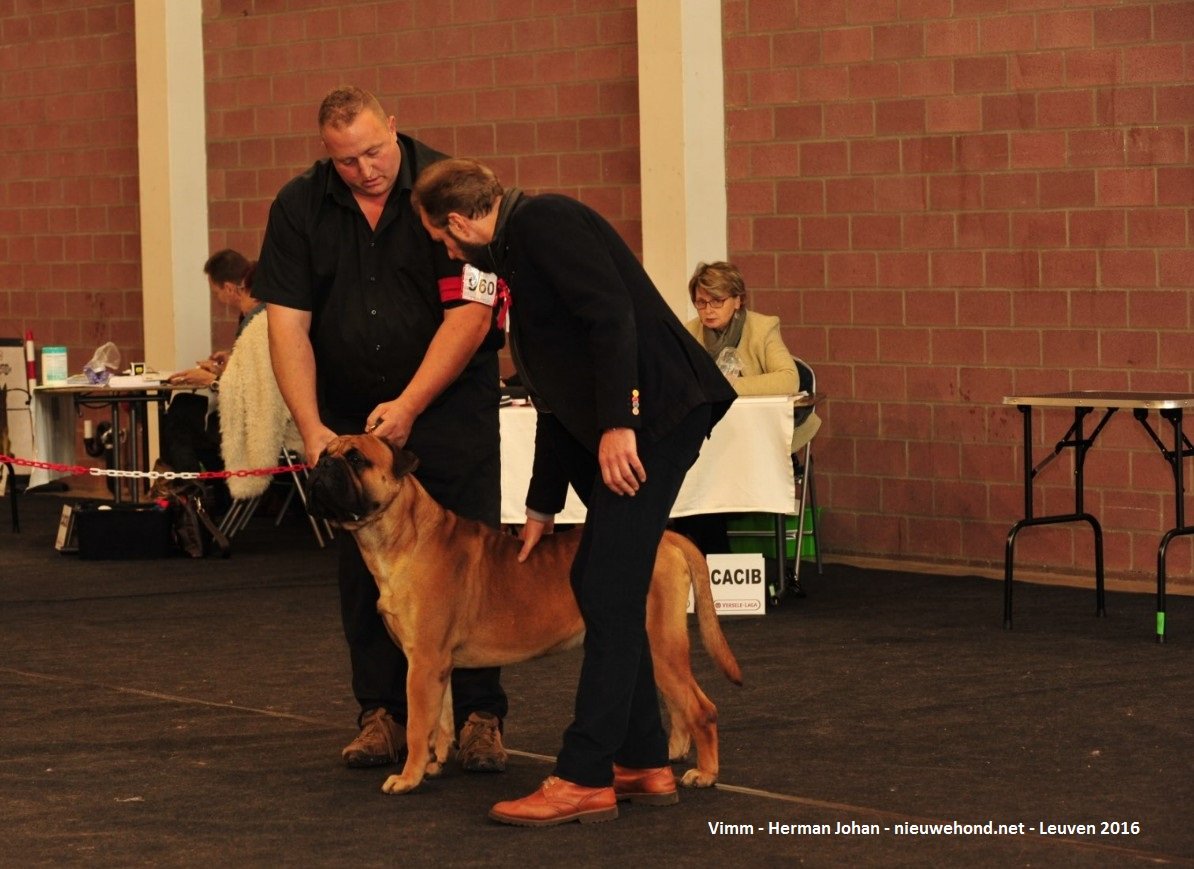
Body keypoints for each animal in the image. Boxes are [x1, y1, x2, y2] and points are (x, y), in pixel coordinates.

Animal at [308, 434, 735, 792]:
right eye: (324, 452)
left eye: (356, 458)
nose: (320, 466)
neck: (404, 538)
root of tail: (667, 537)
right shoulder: (437, 665)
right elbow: (439, 721)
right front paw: (432, 765)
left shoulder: (423, 662)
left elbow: (416, 725)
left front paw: (407, 778)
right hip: (655, 646)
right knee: (680, 702)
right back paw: (674, 753)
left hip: (662, 644)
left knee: (703, 709)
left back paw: (706, 773)